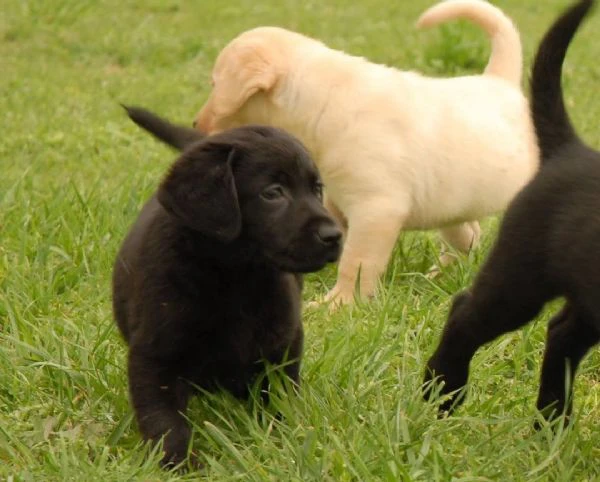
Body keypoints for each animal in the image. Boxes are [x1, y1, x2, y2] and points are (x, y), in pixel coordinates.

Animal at [110, 107, 340, 468]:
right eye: (273, 192)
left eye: (317, 189)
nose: (335, 235)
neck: (236, 277)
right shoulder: (153, 354)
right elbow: (164, 422)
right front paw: (181, 465)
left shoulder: (284, 343)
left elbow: (280, 396)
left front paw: (285, 442)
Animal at [193, 0, 540, 306]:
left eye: (214, 84)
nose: (195, 125)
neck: (325, 103)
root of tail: (501, 82)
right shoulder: (335, 204)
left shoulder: (376, 210)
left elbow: (356, 263)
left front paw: (340, 304)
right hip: (452, 207)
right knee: (467, 237)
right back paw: (440, 276)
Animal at [424, 0, 596, 422]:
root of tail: (570, 150)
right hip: (519, 277)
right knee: (464, 312)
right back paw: (441, 393)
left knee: (562, 334)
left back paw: (552, 423)